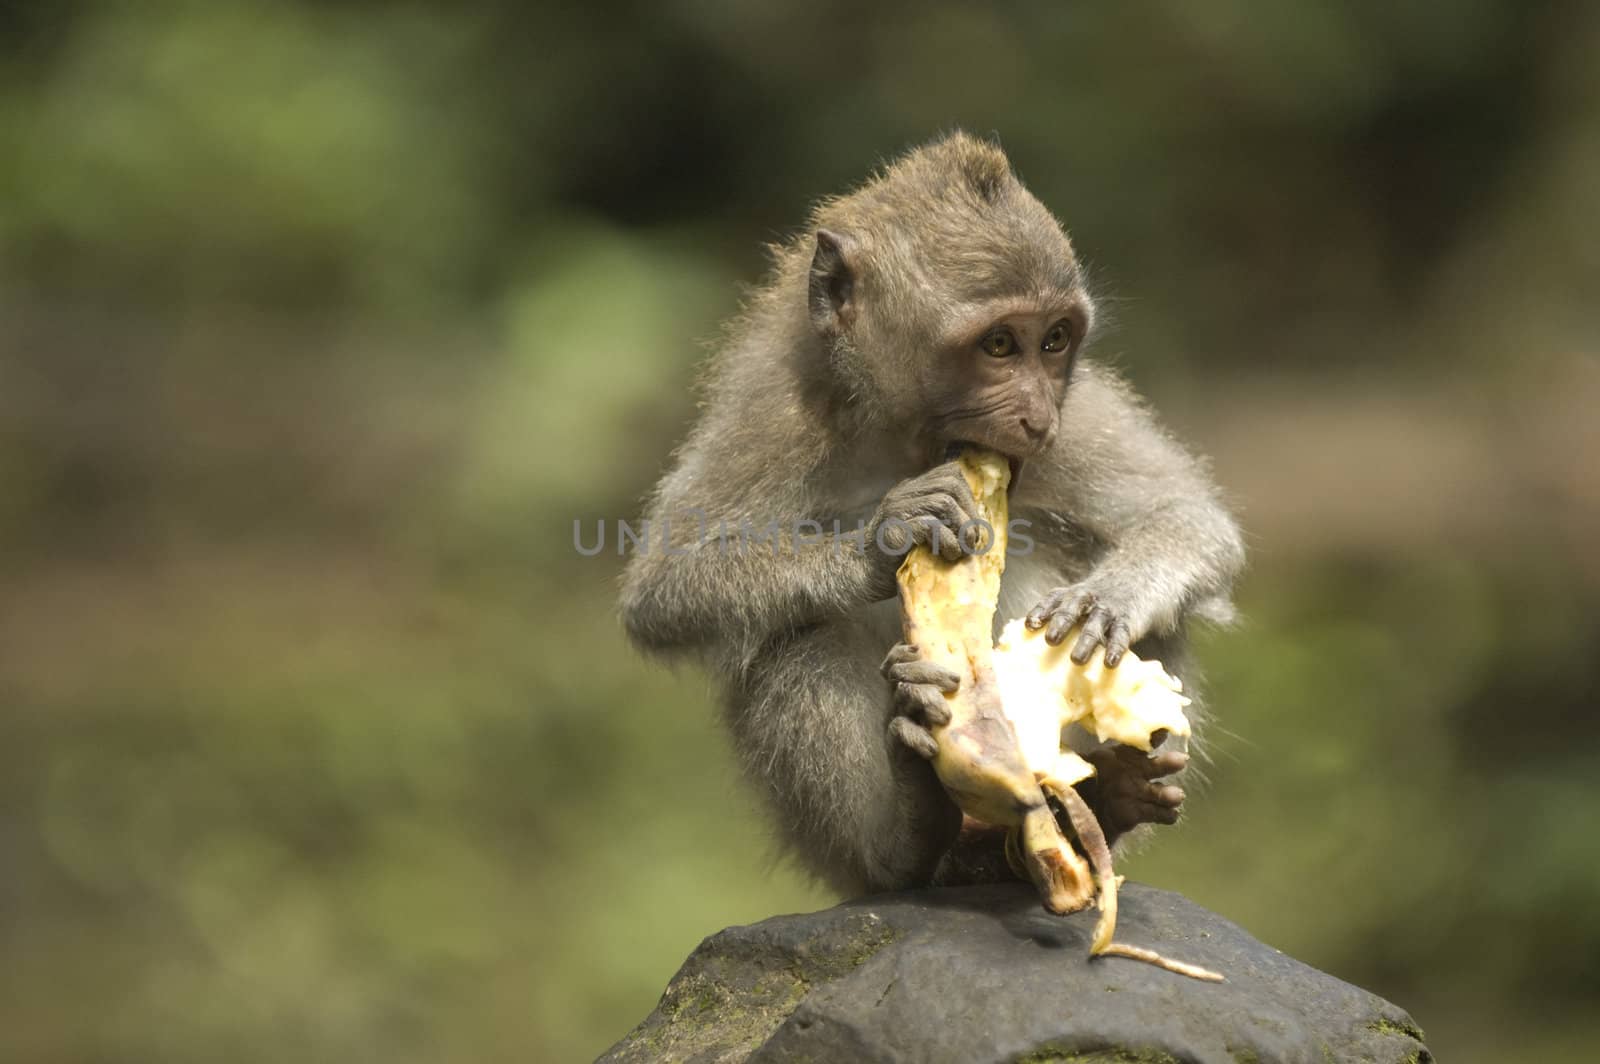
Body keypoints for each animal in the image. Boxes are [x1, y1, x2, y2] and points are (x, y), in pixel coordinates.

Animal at [617, 132, 1241, 896]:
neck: (897, 439)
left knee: (1163, 617)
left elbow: (1187, 516)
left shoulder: (1076, 411)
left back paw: (1105, 804)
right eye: (999, 345)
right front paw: (881, 541)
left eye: (1055, 340)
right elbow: (665, 588)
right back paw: (907, 837)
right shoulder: (772, 416)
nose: (1036, 419)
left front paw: (1108, 600)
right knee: (798, 639)